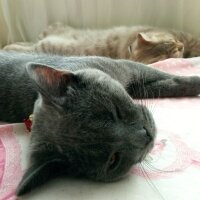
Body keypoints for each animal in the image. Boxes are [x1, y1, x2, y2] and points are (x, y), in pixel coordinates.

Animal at [0, 50, 200, 196]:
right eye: (113, 160)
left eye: (114, 112)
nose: (146, 136)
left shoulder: (127, 66)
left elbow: (168, 79)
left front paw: (194, 81)